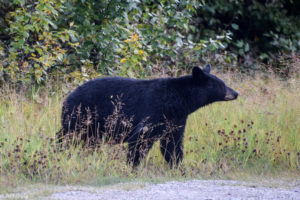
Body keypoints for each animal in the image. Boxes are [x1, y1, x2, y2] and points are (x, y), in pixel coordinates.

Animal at [57, 65, 238, 167]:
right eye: (221, 85)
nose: (236, 93)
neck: (178, 100)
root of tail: (67, 97)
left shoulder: (176, 118)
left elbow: (172, 143)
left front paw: (178, 166)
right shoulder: (155, 111)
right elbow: (141, 138)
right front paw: (133, 166)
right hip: (82, 116)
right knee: (68, 136)